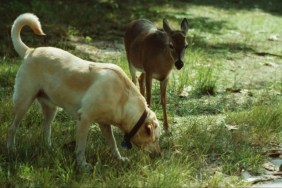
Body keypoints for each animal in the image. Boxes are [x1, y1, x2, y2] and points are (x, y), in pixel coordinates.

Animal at [7, 12, 161, 172]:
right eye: (156, 139)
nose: (159, 155)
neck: (123, 97)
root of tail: (30, 51)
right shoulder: (85, 118)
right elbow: (81, 146)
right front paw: (82, 165)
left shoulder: (104, 124)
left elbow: (112, 143)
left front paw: (119, 159)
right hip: (23, 103)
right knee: (12, 128)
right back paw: (11, 149)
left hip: (51, 109)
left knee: (45, 129)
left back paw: (49, 149)